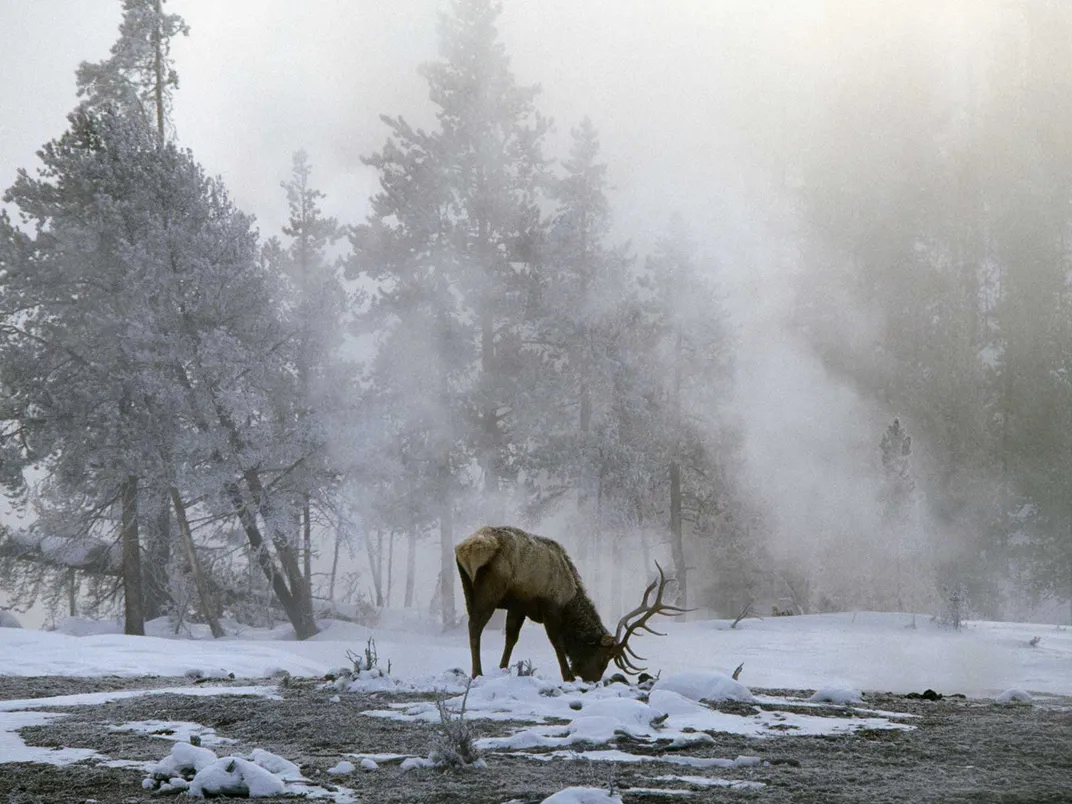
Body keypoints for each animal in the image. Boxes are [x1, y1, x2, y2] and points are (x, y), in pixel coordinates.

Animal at [454, 525, 686, 681]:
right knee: (475, 625)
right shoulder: (550, 605)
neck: (569, 599)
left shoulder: (519, 605)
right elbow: (557, 641)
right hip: (491, 588)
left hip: (467, 586)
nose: (592, 680)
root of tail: (465, 549)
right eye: (604, 658)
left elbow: (511, 638)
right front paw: (568, 676)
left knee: (472, 623)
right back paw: (476, 672)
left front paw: (503, 668)